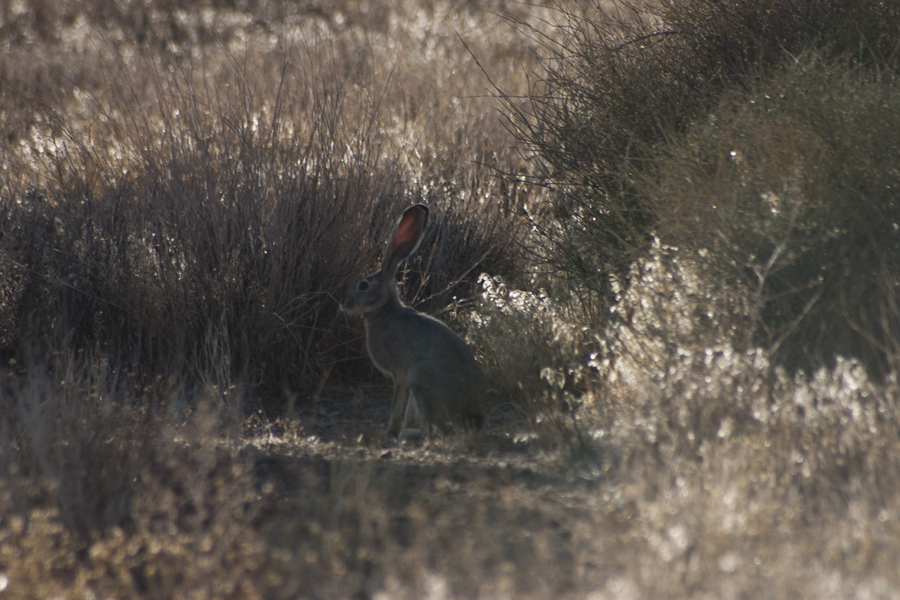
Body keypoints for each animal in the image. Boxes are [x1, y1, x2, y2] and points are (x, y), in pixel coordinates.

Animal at [341, 204, 487, 438]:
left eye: (363, 286)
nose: (343, 304)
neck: (384, 309)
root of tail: (471, 417)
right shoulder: (405, 377)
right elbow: (409, 408)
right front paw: (403, 426)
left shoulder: (401, 374)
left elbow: (397, 403)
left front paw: (391, 431)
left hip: (419, 377)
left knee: (435, 428)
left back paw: (412, 435)